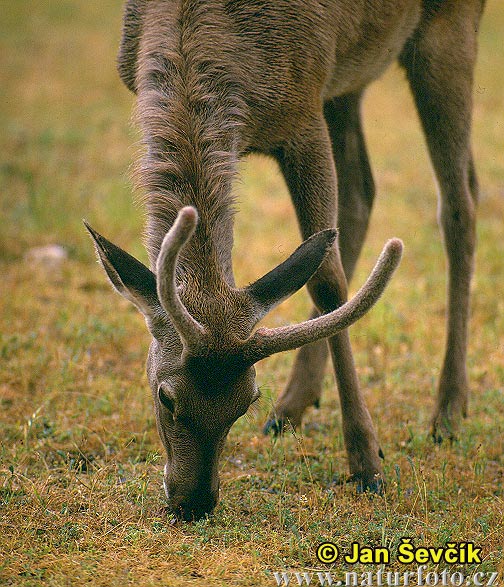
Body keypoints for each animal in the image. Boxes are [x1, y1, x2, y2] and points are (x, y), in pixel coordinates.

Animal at [85, 0, 484, 524]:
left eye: (244, 401)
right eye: (165, 396)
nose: (194, 504)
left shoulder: (302, 105)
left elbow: (329, 283)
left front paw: (367, 462)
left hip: (448, 29)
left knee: (459, 204)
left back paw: (449, 410)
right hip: (349, 78)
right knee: (364, 194)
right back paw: (294, 404)